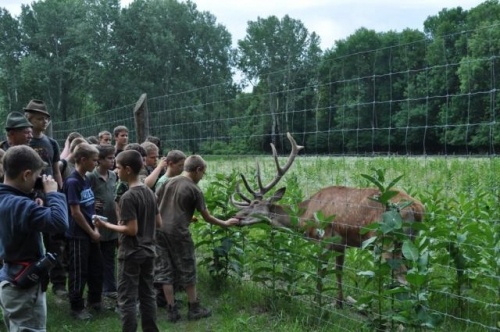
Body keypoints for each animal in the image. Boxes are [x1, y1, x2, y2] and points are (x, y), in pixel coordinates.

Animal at [232, 132, 424, 308]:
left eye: (255, 203)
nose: (237, 216)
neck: (304, 216)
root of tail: (417, 208)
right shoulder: (341, 244)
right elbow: (339, 271)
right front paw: (339, 302)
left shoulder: (324, 238)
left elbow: (321, 272)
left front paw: (317, 302)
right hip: (409, 242)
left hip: (387, 240)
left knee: (404, 278)